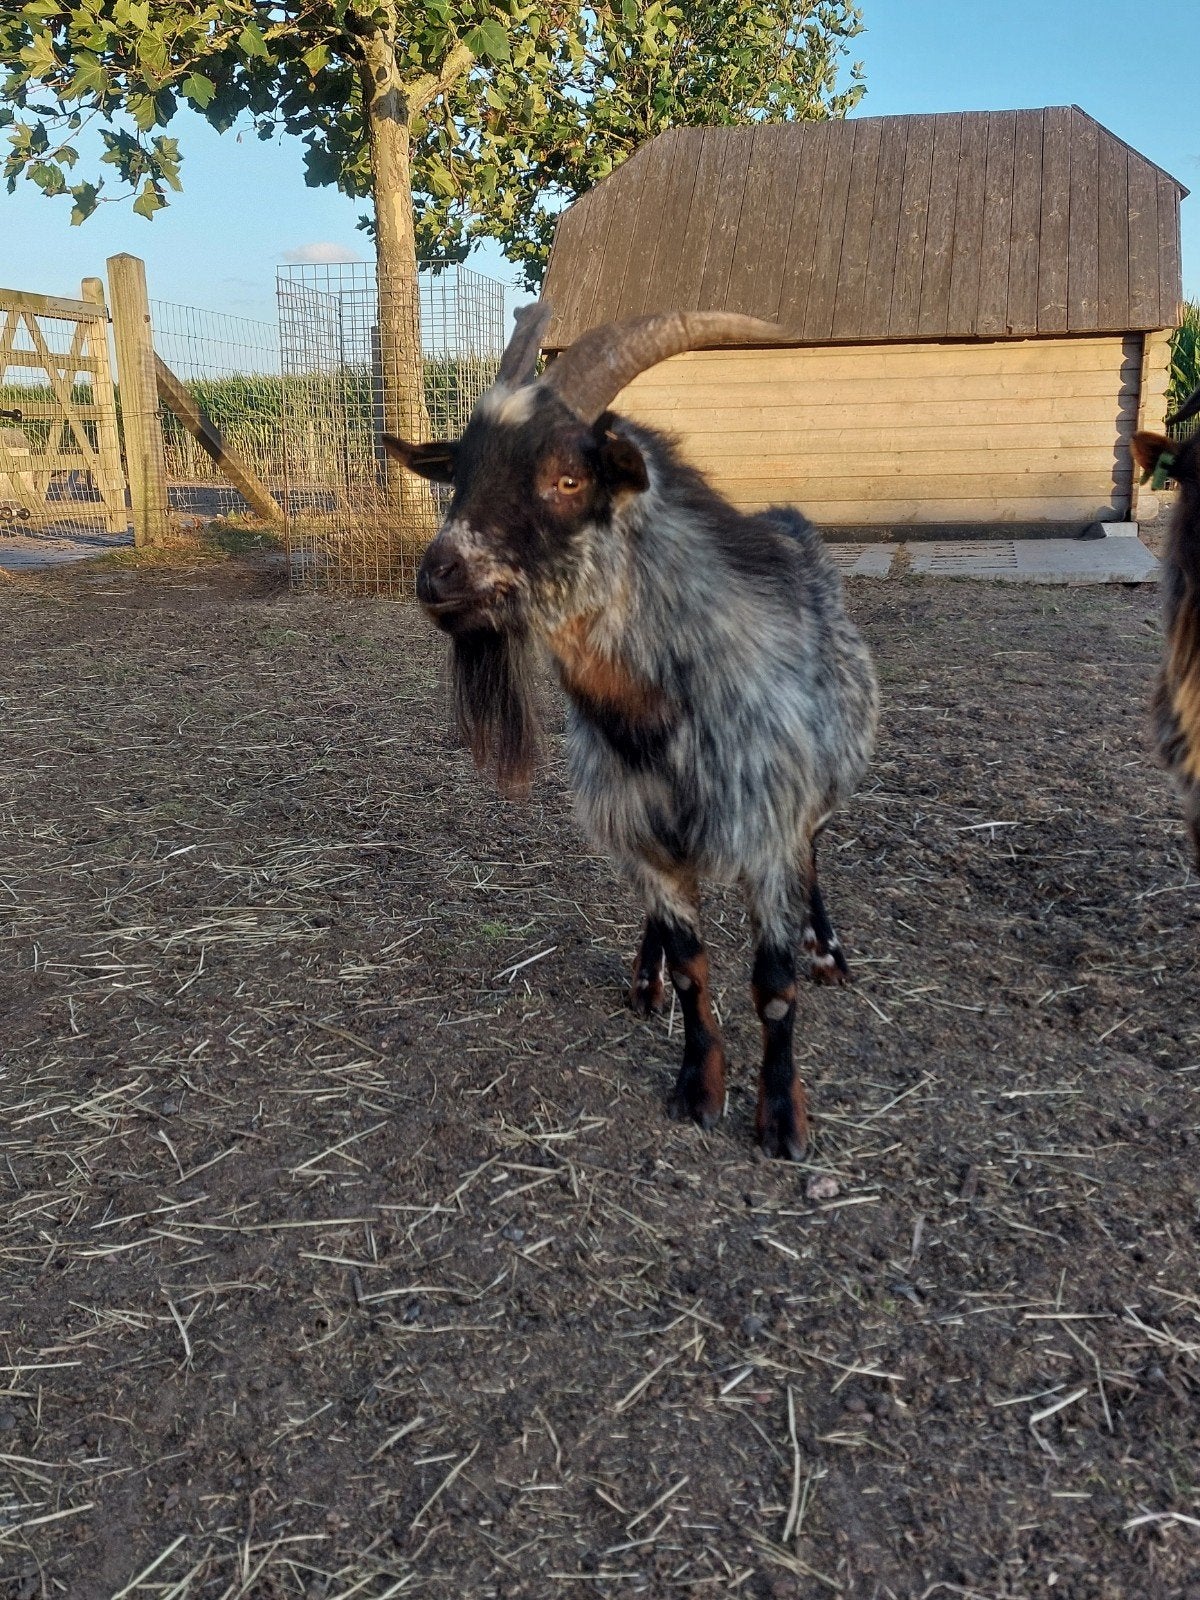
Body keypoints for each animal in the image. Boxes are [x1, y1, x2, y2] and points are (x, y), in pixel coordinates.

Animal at [385, 305, 878, 1158]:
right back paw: (644, 977)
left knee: (816, 861)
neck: (658, 716)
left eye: (568, 478)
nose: (437, 574)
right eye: (462, 474)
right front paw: (697, 1086)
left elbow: (774, 987)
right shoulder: (646, 833)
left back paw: (829, 952)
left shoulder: (767, 828)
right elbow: (692, 969)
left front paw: (782, 1117)